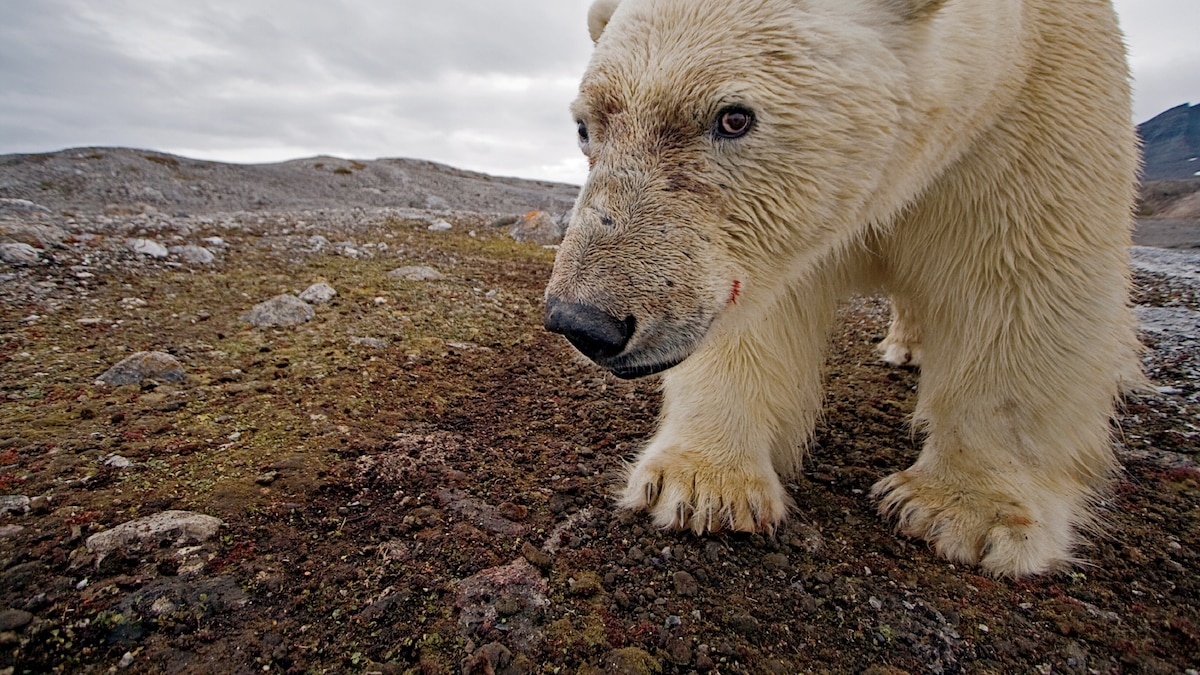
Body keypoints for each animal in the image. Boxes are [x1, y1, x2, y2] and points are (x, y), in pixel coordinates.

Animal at [543, 0, 1143, 578]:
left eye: (733, 118)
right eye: (585, 127)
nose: (583, 321)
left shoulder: (1033, 101)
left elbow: (1024, 281)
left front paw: (966, 513)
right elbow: (763, 308)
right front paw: (701, 485)